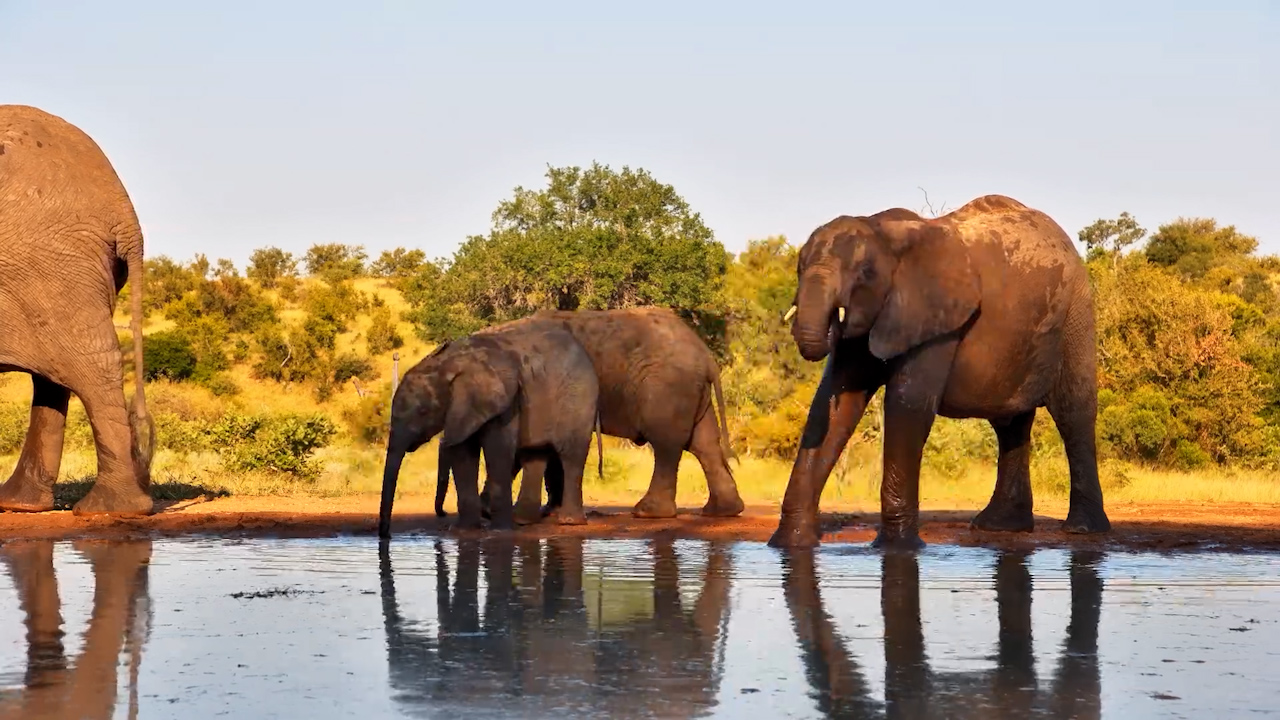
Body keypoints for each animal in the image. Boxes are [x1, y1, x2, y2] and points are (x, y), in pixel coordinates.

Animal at [0, 104, 155, 516]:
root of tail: (123, 212)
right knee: (54, 374)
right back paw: (21, 505)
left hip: (52, 264)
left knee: (90, 366)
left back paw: (110, 509)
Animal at [378, 317, 600, 537]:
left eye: (424, 412)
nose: (386, 536)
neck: (448, 365)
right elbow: (463, 454)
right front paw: (464, 530)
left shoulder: (504, 401)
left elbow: (497, 451)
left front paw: (500, 531)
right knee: (535, 455)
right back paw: (523, 521)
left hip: (578, 399)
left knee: (571, 455)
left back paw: (570, 522)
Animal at [486, 306, 745, 520]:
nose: (486, 512)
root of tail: (706, 355)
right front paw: (551, 511)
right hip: (690, 390)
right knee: (704, 443)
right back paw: (722, 511)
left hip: (668, 387)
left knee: (666, 444)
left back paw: (647, 513)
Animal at [770, 194, 1111, 549]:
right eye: (799, 267)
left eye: (864, 272)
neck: (883, 232)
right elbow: (834, 405)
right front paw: (791, 543)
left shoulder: (937, 317)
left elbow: (907, 405)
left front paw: (898, 548)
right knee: (1010, 424)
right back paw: (1000, 527)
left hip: (1074, 317)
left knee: (1073, 414)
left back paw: (1083, 529)